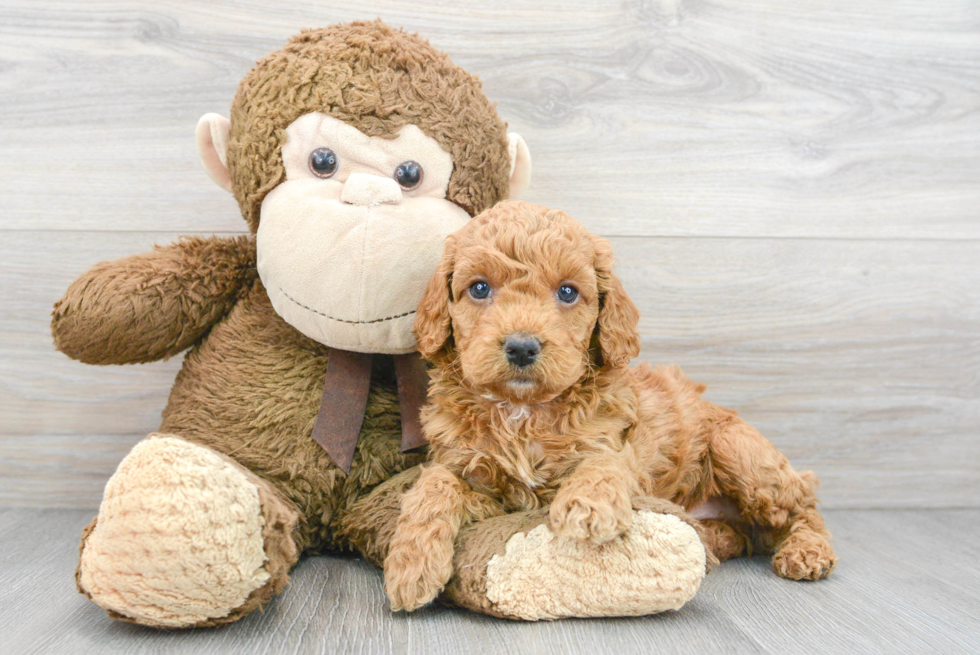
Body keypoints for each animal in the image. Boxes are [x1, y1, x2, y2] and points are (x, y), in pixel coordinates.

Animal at [382, 202, 836, 612]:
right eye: (479, 288)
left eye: (567, 291)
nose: (522, 347)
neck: (522, 411)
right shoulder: (475, 476)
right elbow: (434, 484)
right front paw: (410, 565)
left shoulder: (615, 445)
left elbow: (604, 464)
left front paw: (587, 506)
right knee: (749, 534)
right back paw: (715, 538)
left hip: (741, 452)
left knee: (801, 508)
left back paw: (807, 551)